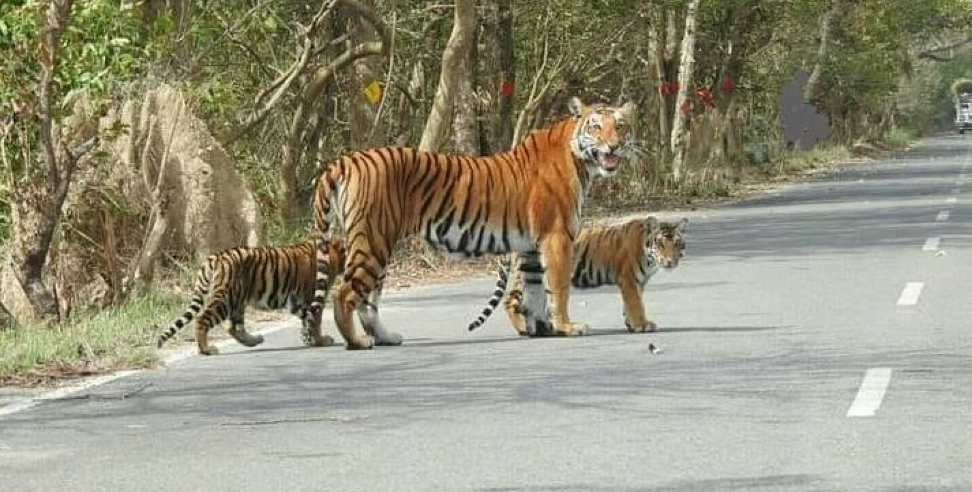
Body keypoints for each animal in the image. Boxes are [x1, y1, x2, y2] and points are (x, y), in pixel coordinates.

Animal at [156, 237, 346, 354]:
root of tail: (215, 256)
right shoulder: (313, 297)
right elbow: (315, 321)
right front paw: (321, 340)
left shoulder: (296, 302)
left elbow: (306, 320)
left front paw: (309, 339)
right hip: (226, 299)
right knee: (203, 319)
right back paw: (206, 350)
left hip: (237, 300)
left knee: (234, 327)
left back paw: (255, 340)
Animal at [308, 97, 636, 350]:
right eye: (596, 126)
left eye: (620, 126)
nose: (614, 146)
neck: (580, 158)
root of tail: (347, 160)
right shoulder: (556, 236)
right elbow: (558, 286)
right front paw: (567, 326)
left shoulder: (531, 245)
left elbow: (534, 289)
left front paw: (542, 328)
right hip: (372, 241)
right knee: (343, 294)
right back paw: (358, 342)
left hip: (378, 246)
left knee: (368, 301)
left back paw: (386, 337)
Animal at [468, 218, 688, 336]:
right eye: (661, 244)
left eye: (677, 244)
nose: (670, 261)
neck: (649, 256)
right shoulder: (628, 280)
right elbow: (636, 304)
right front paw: (642, 325)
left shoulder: (638, 282)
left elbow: (632, 304)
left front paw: (631, 324)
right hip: (526, 276)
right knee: (511, 301)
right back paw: (524, 328)